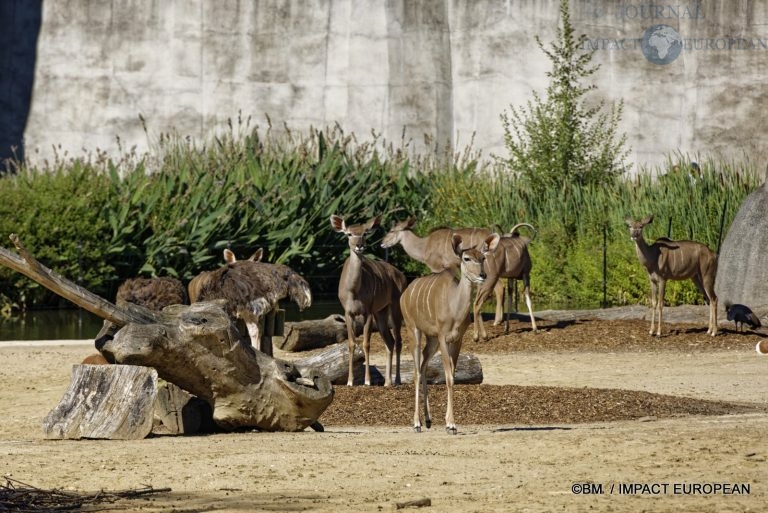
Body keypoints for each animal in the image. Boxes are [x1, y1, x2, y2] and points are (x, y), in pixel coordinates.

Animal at [332, 212, 412, 384]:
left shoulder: (367, 311)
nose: (359, 246)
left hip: (395, 307)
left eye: (364, 233)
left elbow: (366, 343)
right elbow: (351, 343)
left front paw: (367, 381)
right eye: (349, 234)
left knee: (398, 341)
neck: (353, 291)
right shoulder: (348, 312)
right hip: (380, 312)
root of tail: (402, 276)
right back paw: (387, 382)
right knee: (390, 341)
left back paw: (397, 379)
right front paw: (350, 381)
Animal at [400, 230, 500, 434]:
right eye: (466, 258)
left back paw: (428, 420)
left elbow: (452, 376)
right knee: (416, 371)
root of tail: (403, 295)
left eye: (483, 257)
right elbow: (447, 377)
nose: (482, 275)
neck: (454, 308)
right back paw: (416, 423)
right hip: (414, 330)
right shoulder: (443, 337)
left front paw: (448, 422)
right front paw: (451, 425)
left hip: (431, 340)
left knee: (423, 366)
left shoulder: (457, 339)